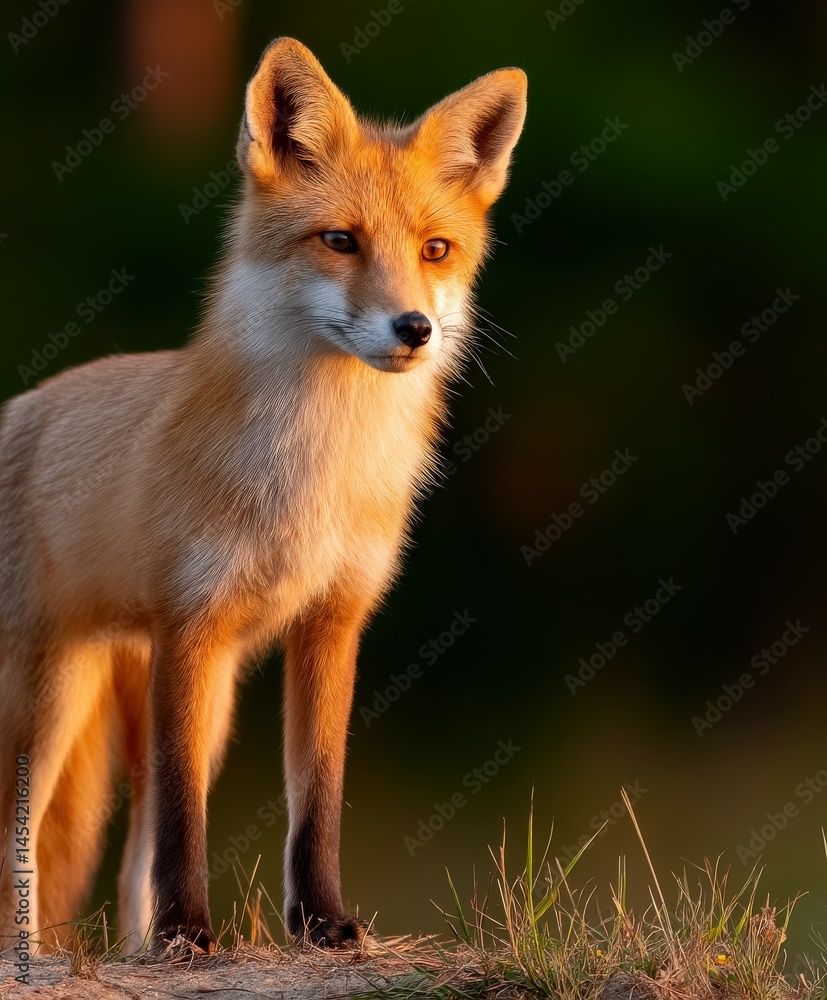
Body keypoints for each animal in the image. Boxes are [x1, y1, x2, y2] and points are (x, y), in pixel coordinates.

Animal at [0, 37, 526, 955]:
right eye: (340, 241)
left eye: (435, 250)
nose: (414, 329)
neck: (311, 477)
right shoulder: (190, 627)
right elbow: (185, 823)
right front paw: (187, 934)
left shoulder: (332, 622)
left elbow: (315, 803)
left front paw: (322, 925)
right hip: (49, 703)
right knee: (17, 853)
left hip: (186, 705)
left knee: (126, 866)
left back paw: (135, 950)